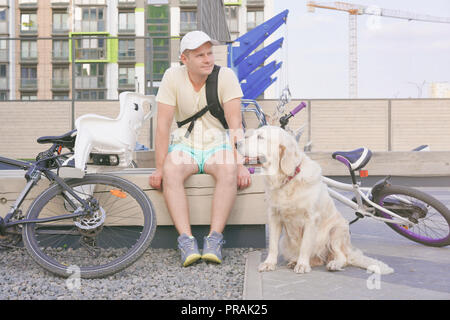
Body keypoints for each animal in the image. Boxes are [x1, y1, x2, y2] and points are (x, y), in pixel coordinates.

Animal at [237, 126, 392, 274]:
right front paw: (269, 263)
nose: (236, 143)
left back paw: (333, 264)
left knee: (342, 257)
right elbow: (273, 245)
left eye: (260, 137)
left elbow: (305, 245)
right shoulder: (274, 216)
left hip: (337, 230)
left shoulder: (311, 218)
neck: (288, 179)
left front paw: (302, 265)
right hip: (285, 241)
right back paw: (295, 261)